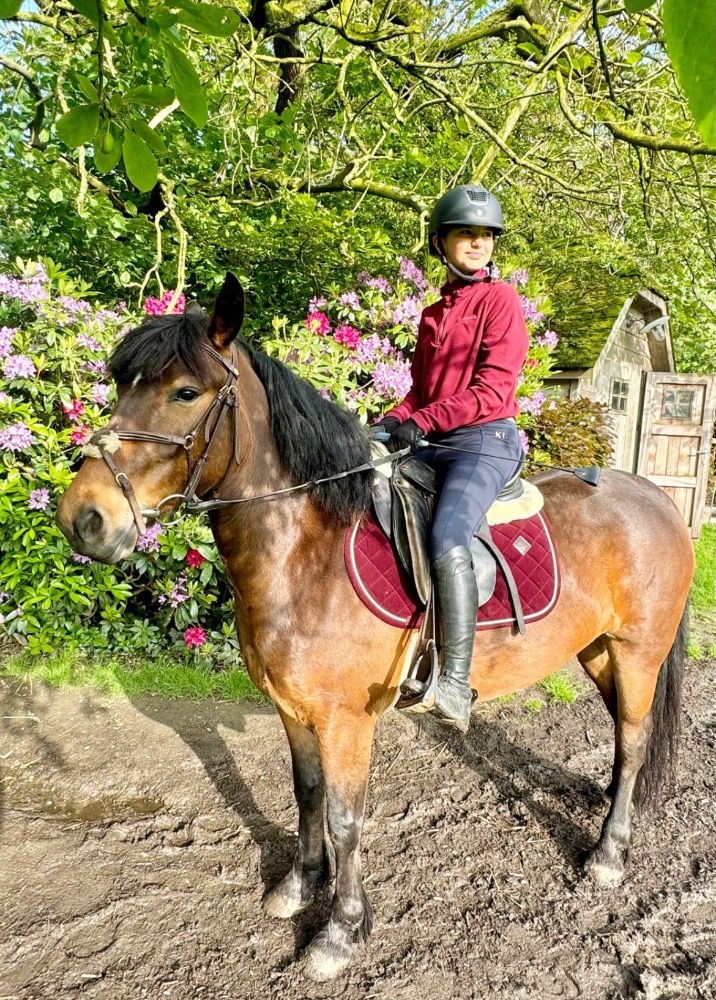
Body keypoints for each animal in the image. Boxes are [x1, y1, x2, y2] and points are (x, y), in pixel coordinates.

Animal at [56, 274, 694, 981]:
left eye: (185, 392)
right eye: (122, 385)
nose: (83, 519)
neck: (306, 552)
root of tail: (655, 495)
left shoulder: (346, 720)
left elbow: (346, 819)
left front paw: (340, 932)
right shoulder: (293, 709)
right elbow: (307, 796)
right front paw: (298, 886)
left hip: (638, 653)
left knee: (633, 741)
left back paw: (609, 853)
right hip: (598, 651)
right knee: (624, 735)